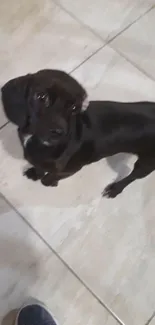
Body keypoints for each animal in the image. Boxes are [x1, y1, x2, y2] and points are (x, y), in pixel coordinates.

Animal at [1, 69, 155, 196]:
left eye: (74, 107)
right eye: (41, 96)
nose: (59, 132)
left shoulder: (71, 170)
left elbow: (50, 176)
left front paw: (49, 182)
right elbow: (39, 167)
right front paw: (35, 173)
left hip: (146, 164)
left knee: (132, 177)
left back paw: (115, 189)